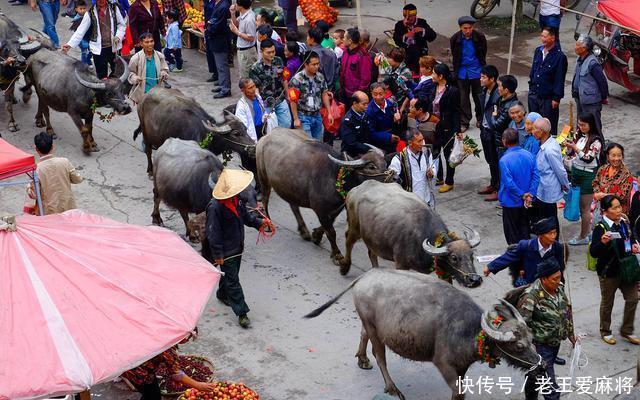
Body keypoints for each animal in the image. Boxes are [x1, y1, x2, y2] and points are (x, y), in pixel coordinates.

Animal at [255, 128, 396, 264]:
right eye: (371, 166)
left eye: (385, 163)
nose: (396, 178)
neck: (335, 175)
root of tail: (265, 137)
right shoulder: (320, 209)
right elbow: (331, 231)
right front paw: (337, 255)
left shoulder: (337, 207)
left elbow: (329, 223)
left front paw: (316, 235)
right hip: (263, 178)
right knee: (265, 199)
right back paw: (268, 224)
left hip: (290, 186)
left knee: (293, 206)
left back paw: (304, 231)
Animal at [304, 268, 540, 400]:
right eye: (518, 346)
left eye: (532, 339)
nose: (541, 364)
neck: (471, 332)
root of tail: (367, 275)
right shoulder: (443, 364)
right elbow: (458, 392)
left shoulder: (462, 367)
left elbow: (461, 391)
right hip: (373, 328)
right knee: (379, 354)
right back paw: (392, 388)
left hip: (371, 323)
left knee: (363, 334)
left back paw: (362, 359)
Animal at [340, 180, 480, 288]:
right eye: (454, 258)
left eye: (471, 255)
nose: (475, 280)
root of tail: (357, 188)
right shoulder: (400, 264)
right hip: (354, 227)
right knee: (348, 240)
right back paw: (344, 267)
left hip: (371, 236)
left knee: (371, 252)